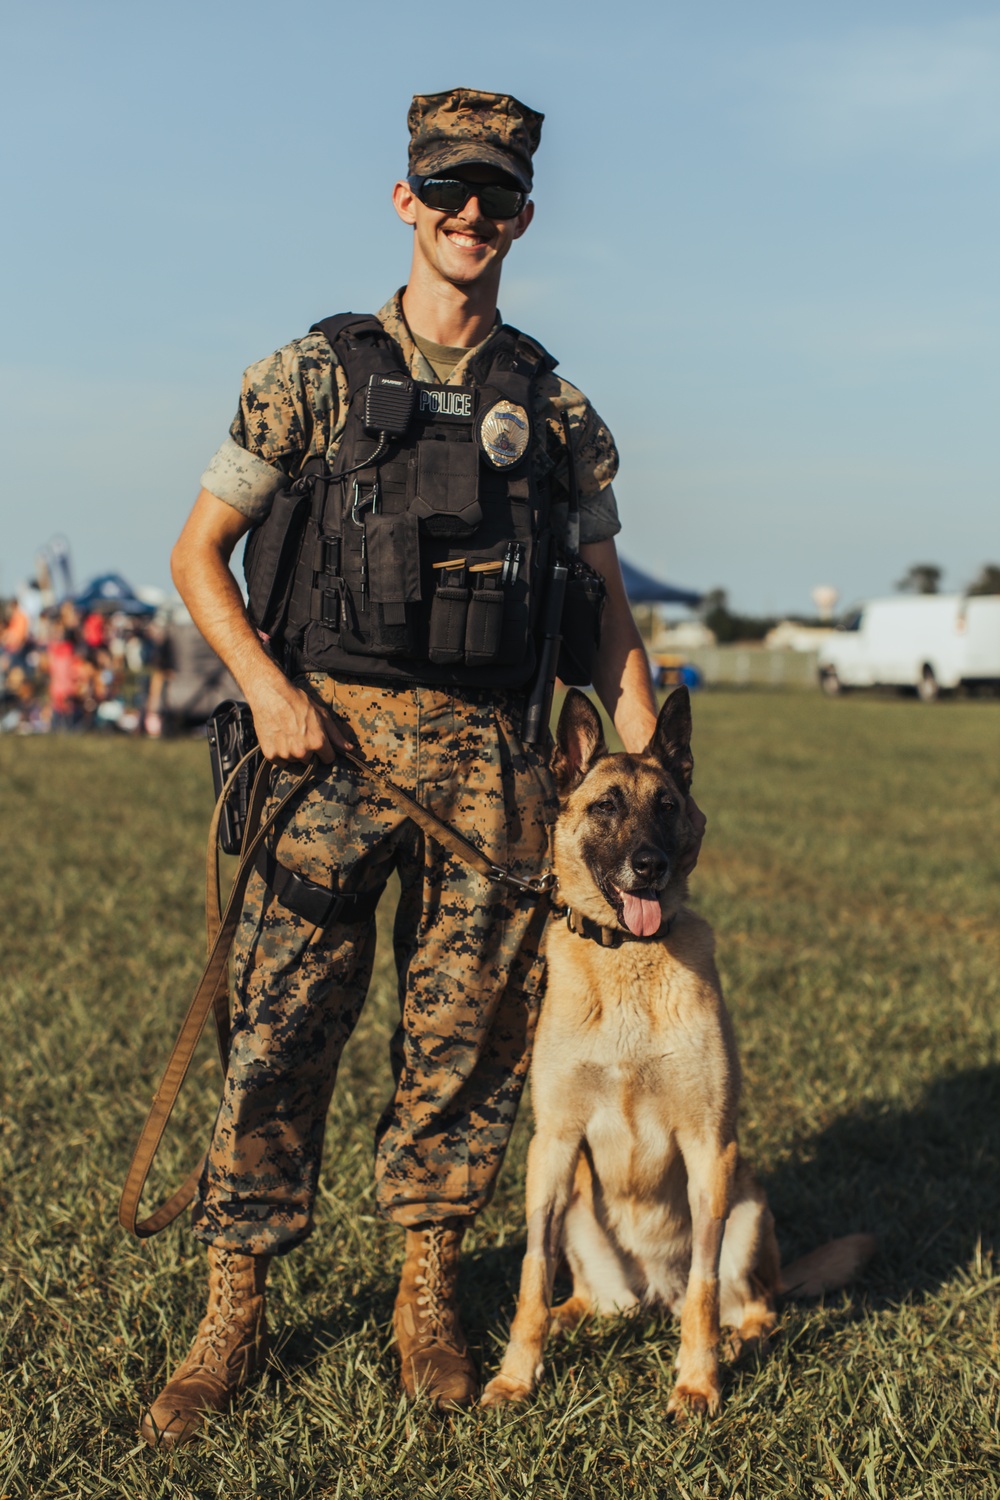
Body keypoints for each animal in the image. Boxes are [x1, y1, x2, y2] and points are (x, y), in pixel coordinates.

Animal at [479, 687, 869, 1410]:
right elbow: (531, 1274)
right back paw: (571, 1319)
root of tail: (650, 1292)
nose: (650, 866)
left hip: (747, 1206)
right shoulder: (553, 1146)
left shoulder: (709, 1146)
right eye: (605, 806)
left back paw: (740, 1341)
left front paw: (697, 1380)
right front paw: (517, 1374)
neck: (628, 960)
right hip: (578, 1213)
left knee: (748, 1305)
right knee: (586, 1298)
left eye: (666, 806)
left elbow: (704, 1290)